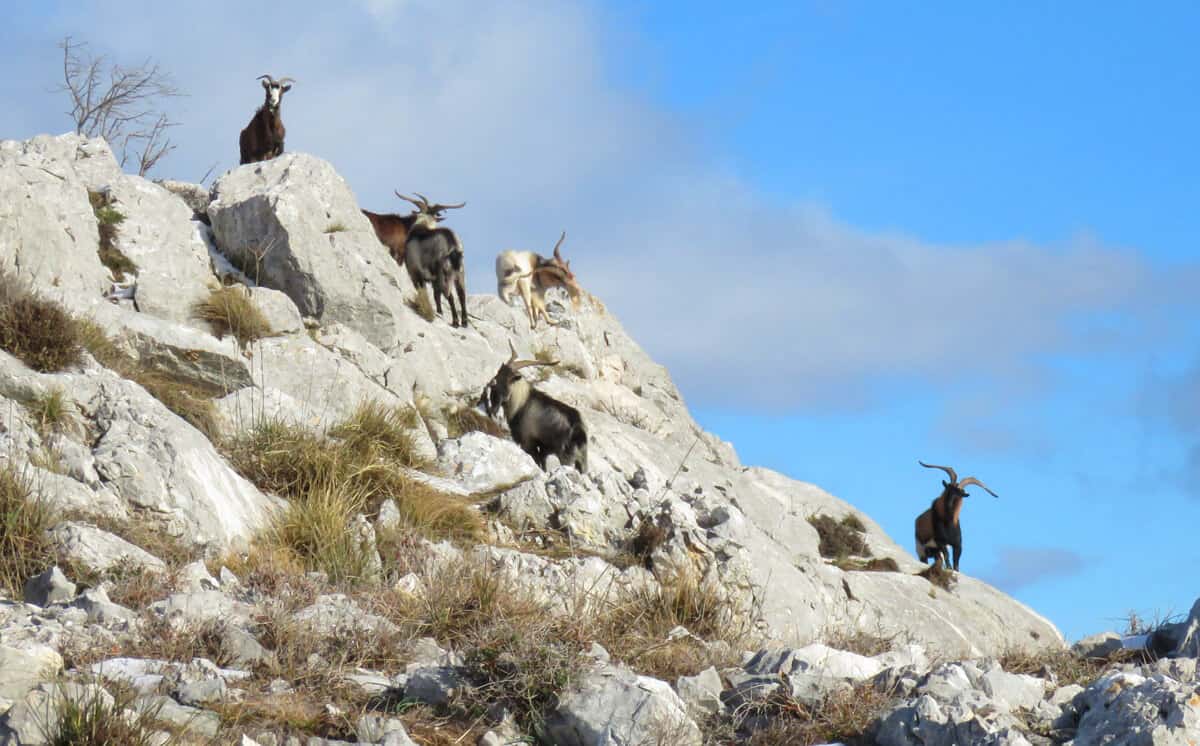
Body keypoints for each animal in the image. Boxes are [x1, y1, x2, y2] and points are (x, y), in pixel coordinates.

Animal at [403, 194, 468, 328]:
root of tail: (453, 245)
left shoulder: (415, 273)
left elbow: (426, 292)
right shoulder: (434, 280)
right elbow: (436, 295)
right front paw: (440, 311)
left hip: (444, 274)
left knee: (450, 296)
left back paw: (455, 322)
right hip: (460, 273)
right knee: (462, 294)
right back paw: (464, 322)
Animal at [480, 343, 588, 472]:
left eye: (509, 379)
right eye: (499, 372)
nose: (492, 383)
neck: (522, 402)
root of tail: (578, 430)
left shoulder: (527, 442)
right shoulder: (542, 449)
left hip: (566, 456)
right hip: (581, 459)